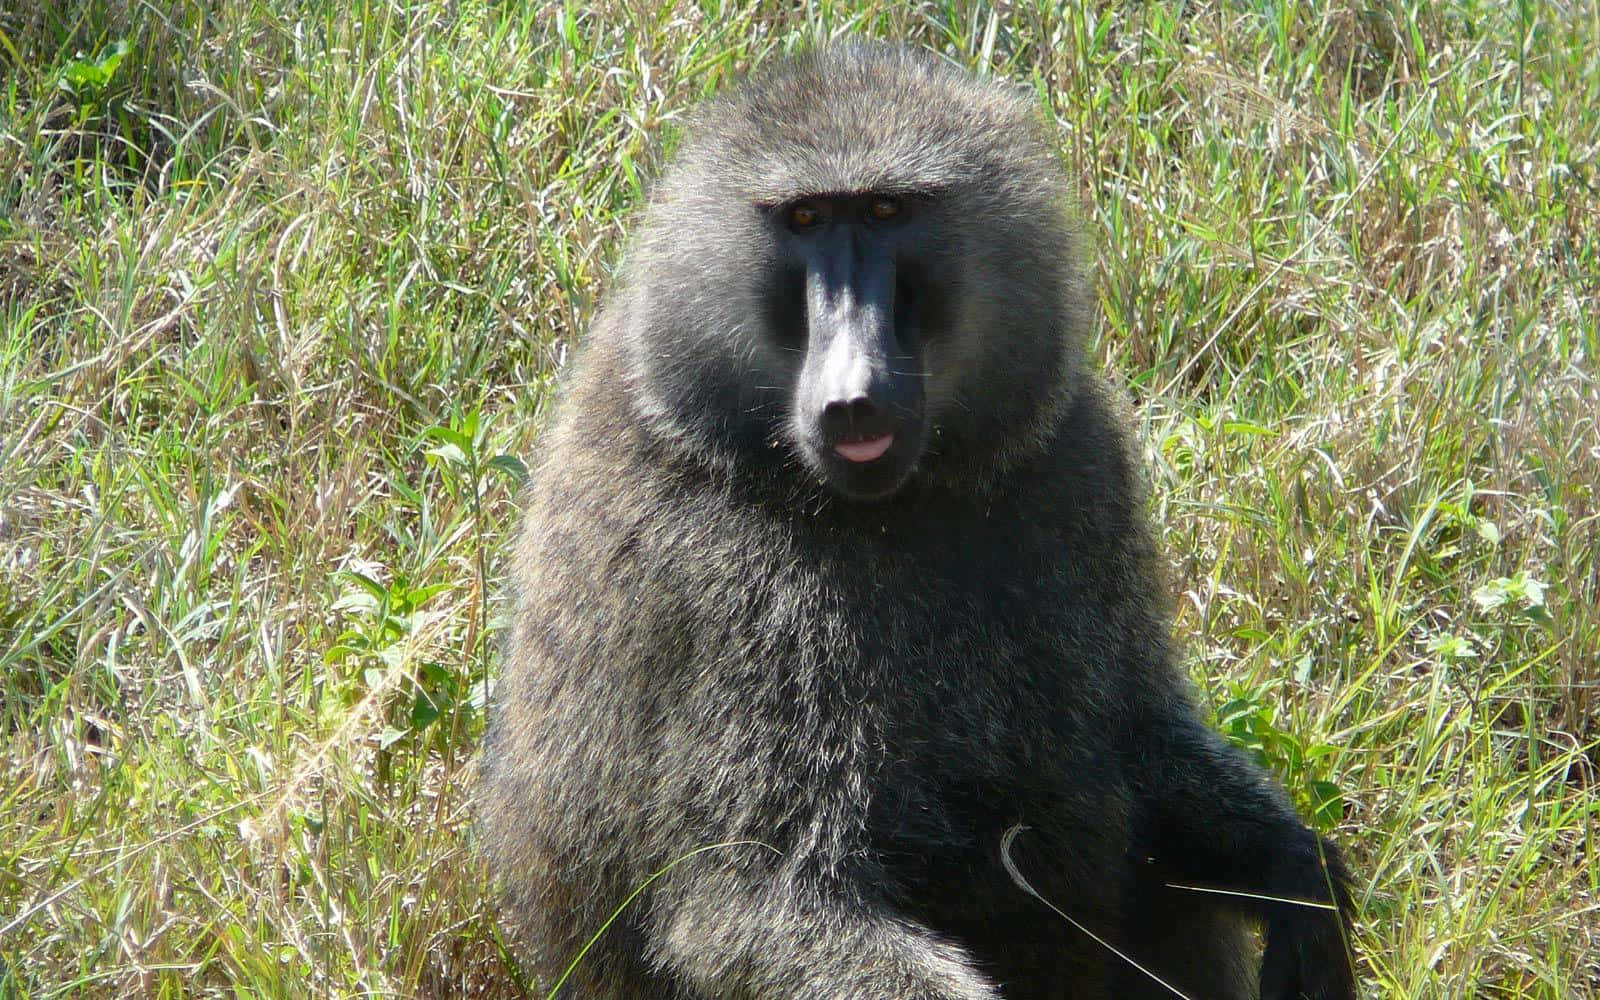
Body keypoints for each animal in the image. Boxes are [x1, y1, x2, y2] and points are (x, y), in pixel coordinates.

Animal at [479, 43, 1357, 1000]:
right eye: (807, 217)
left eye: (887, 210)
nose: (854, 398)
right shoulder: (718, 588)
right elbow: (745, 900)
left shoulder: (1081, 474)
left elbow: (1147, 748)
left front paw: (1301, 883)